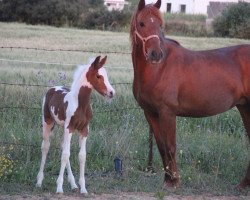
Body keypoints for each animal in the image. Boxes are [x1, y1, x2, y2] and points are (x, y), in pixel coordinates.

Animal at [35, 55, 114, 193]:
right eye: (98, 76)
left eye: (106, 75)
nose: (111, 92)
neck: (80, 104)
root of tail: (52, 88)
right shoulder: (70, 127)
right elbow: (65, 155)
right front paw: (59, 188)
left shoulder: (84, 130)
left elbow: (81, 156)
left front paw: (83, 188)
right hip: (48, 122)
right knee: (45, 147)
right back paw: (39, 181)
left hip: (63, 127)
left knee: (62, 146)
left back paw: (73, 184)